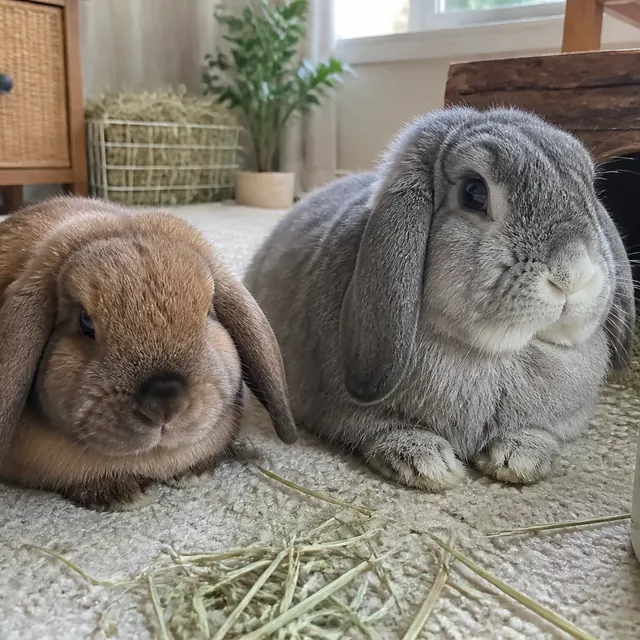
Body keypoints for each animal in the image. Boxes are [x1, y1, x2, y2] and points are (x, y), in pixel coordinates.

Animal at [245, 106, 635, 491]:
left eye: (589, 190)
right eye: (474, 192)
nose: (574, 274)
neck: (491, 355)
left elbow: (539, 432)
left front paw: (519, 459)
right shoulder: (343, 411)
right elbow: (377, 427)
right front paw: (427, 465)